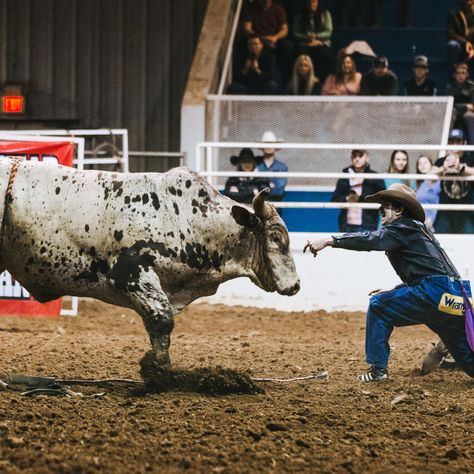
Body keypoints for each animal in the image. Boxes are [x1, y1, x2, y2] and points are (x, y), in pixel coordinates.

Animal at [0, 161, 300, 364]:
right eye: (276, 237)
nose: (296, 285)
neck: (187, 217)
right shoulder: (133, 274)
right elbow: (161, 319)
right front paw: (158, 372)